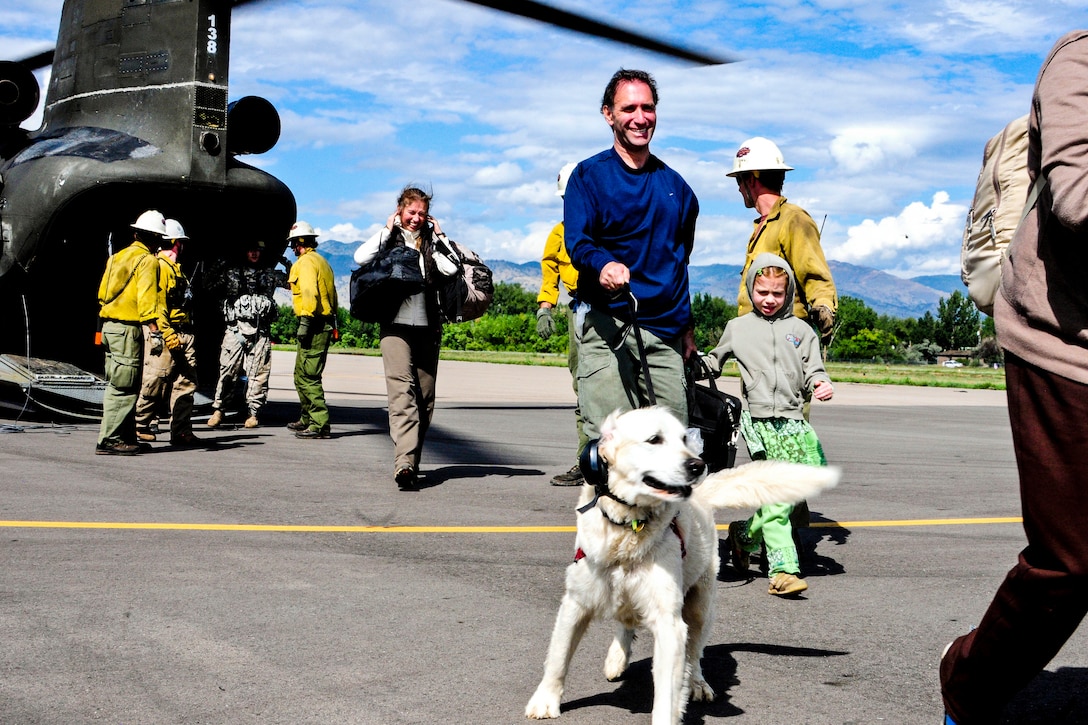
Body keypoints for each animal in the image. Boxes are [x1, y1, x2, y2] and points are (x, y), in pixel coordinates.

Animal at [526, 407, 839, 722]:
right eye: (654, 440)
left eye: (684, 439)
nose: (698, 465)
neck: (629, 528)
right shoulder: (575, 603)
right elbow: (558, 658)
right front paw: (545, 701)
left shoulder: (669, 621)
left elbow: (668, 688)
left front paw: (670, 712)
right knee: (626, 623)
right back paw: (617, 659)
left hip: (700, 605)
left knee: (694, 654)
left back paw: (698, 684)